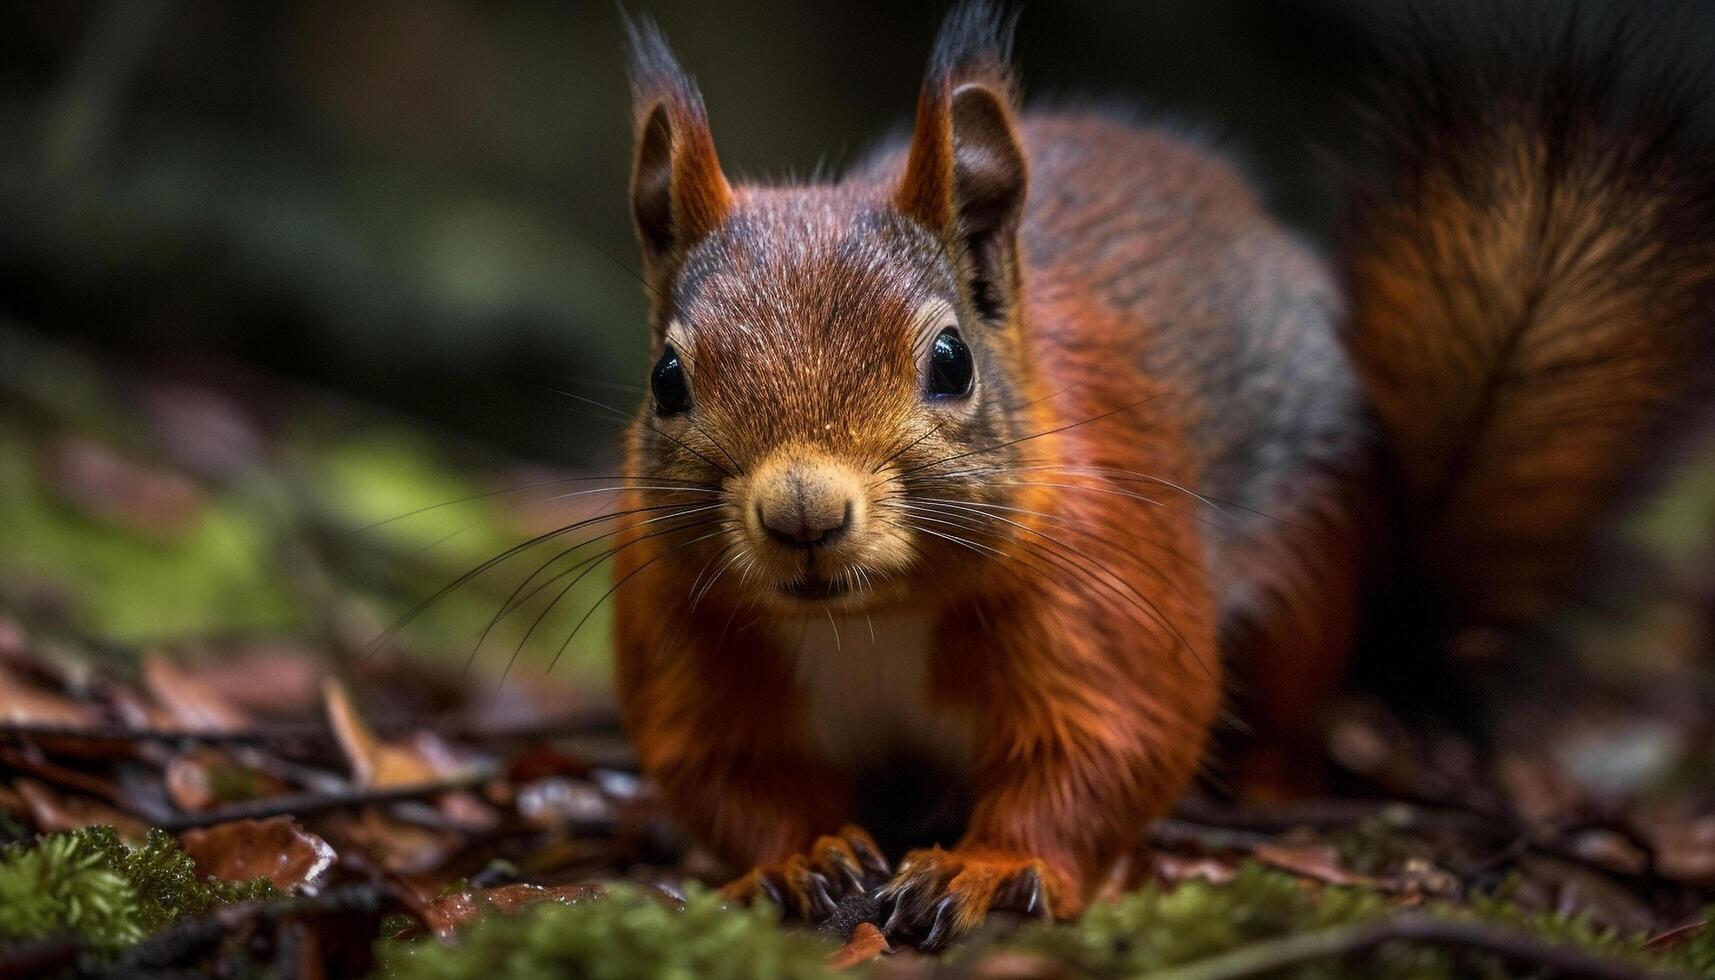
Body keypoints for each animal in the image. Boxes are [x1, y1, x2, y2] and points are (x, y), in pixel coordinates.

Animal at [603, 0, 1715, 954]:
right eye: (665, 378)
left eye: (951, 362)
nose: (803, 513)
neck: (867, 617)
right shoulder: (685, 626)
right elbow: (724, 770)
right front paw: (801, 857)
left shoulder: (1107, 583)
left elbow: (1107, 747)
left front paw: (988, 866)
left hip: (1307, 569)